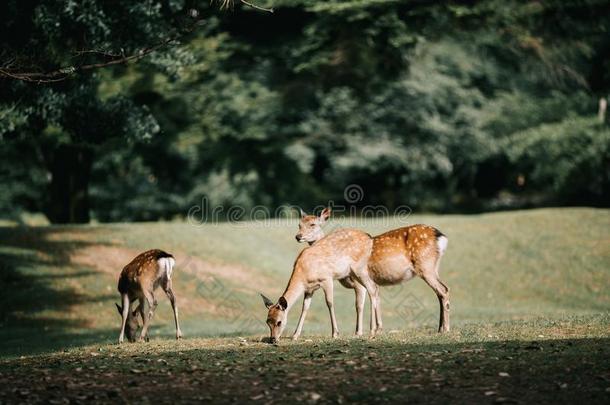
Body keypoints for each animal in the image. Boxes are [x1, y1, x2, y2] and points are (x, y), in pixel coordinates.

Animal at [296, 207, 448, 332]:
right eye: (299, 224)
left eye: (313, 224)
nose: (298, 236)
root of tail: (441, 237)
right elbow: (376, 299)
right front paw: (377, 329)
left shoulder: (357, 282)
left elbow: (359, 305)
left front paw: (360, 332)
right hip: (433, 266)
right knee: (441, 291)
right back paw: (440, 328)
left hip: (425, 265)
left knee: (443, 290)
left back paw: (445, 329)